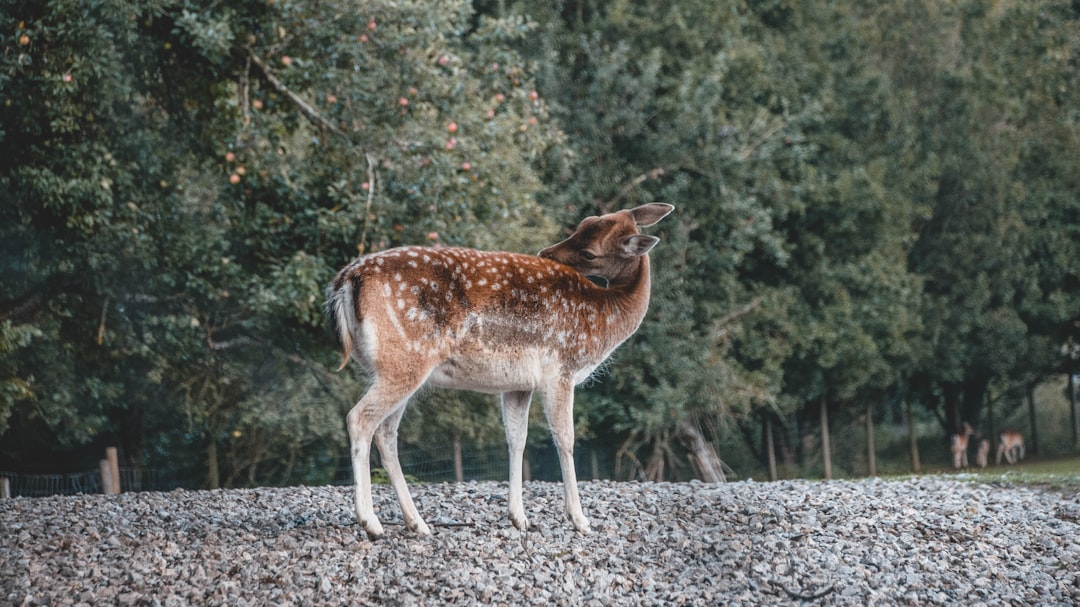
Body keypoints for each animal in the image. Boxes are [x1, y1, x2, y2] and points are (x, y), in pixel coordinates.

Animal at [326, 204, 673, 537]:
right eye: (581, 226)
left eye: (590, 247)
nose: (546, 253)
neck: (605, 318)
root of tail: (347, 280)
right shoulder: (560, 369)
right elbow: (565, 439)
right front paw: (579, 519)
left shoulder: (519, 383)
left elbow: (517, 439)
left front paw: (519, 518)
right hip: (403, 361)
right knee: (359, 419)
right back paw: (371, 522)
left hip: (392, 367)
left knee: (386, 433)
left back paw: (417, 523)